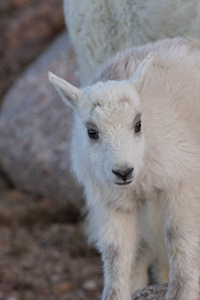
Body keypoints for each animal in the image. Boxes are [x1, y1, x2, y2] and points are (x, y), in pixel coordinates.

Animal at [49, 37, 200, 300]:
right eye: (92, 132)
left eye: (138, 124)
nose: (123, 172)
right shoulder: (112, 200)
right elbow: (116, 251)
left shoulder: (181, 182)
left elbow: (178, 236)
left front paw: (182, 293)